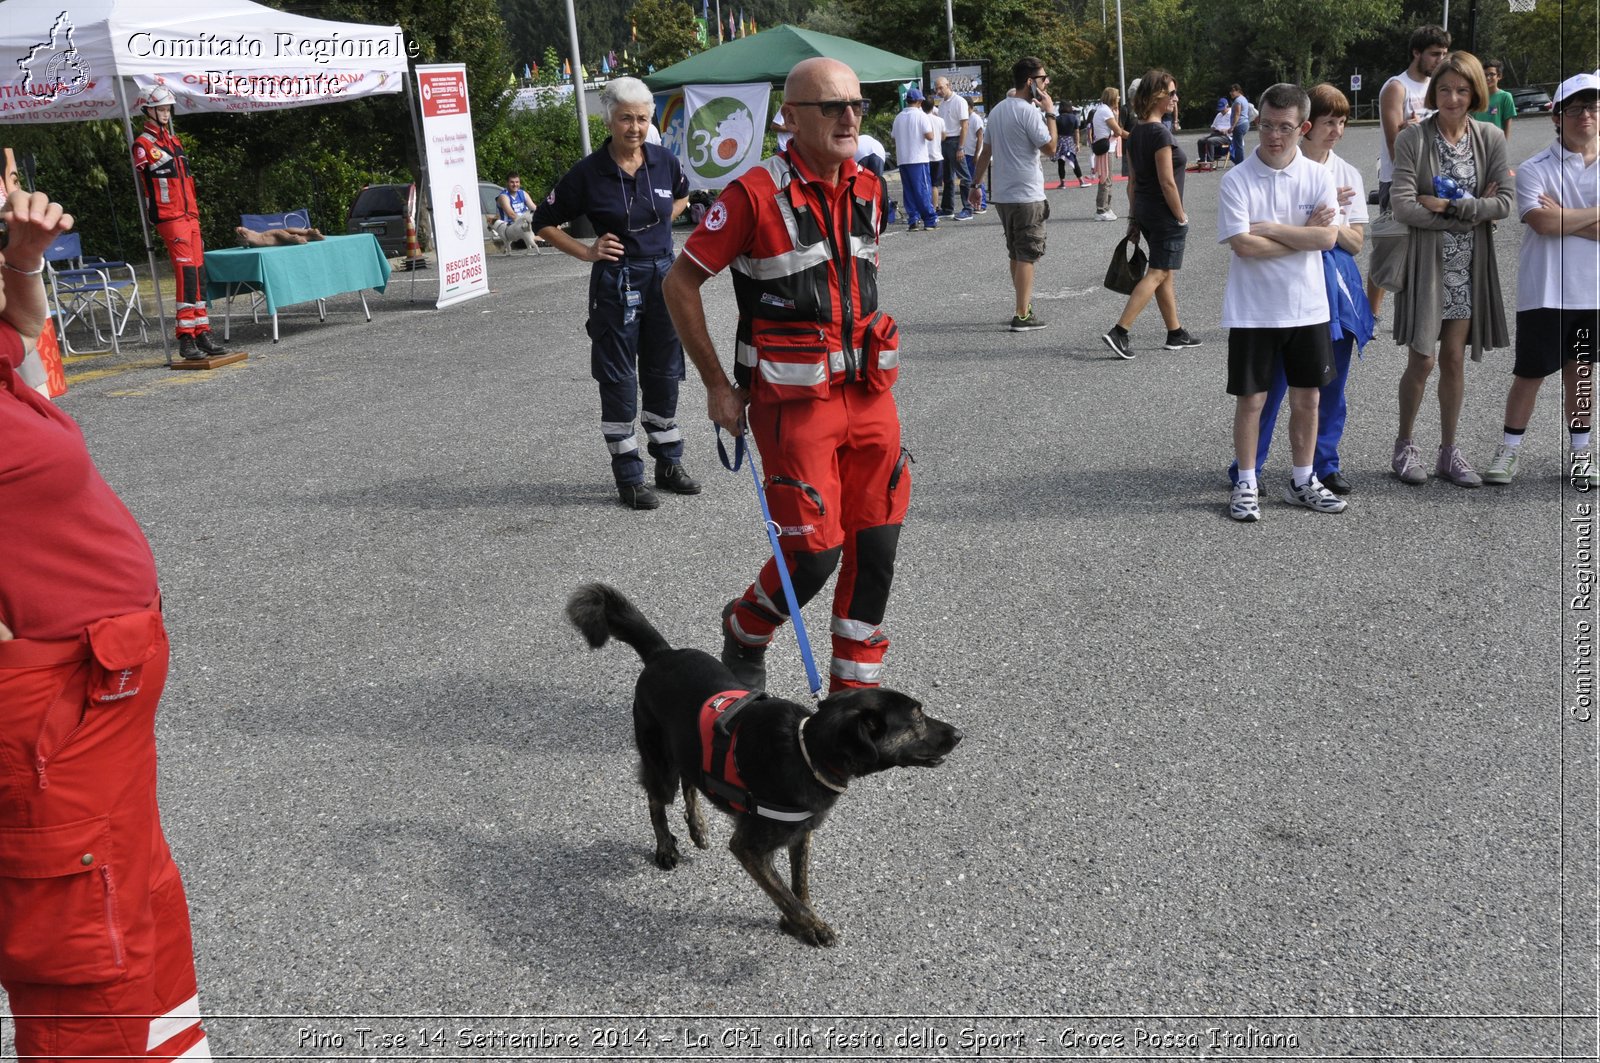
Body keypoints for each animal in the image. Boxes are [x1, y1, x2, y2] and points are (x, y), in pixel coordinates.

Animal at [566, 582, 960, 947]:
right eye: (916, 718)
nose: (959, 733)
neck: (806, 751)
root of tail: (662, 654)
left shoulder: (800, 835)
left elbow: (799, 885)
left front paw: (798, 921)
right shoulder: (749, 848)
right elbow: (784, 893)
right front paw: (810, 926)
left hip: (688, 746)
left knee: (692, 781)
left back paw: (698, 827)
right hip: (660, 762)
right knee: (656, 800)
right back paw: (665, 847)